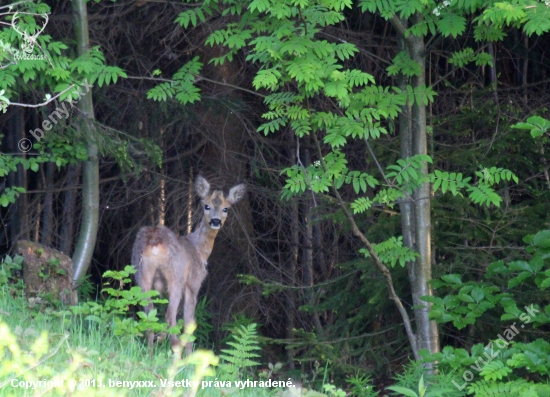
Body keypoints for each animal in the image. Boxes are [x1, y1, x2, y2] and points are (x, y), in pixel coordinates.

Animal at [133, 174, 247, 352]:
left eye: (226, 208)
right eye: (206, 205)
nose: (215, 221)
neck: (199, 249)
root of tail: (154, 243)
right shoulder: (193, 284)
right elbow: (188, 324)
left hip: (141, 275)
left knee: (149, 318)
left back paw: (150, 353)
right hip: (176, 277)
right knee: (170, 318)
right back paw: (175, 352)